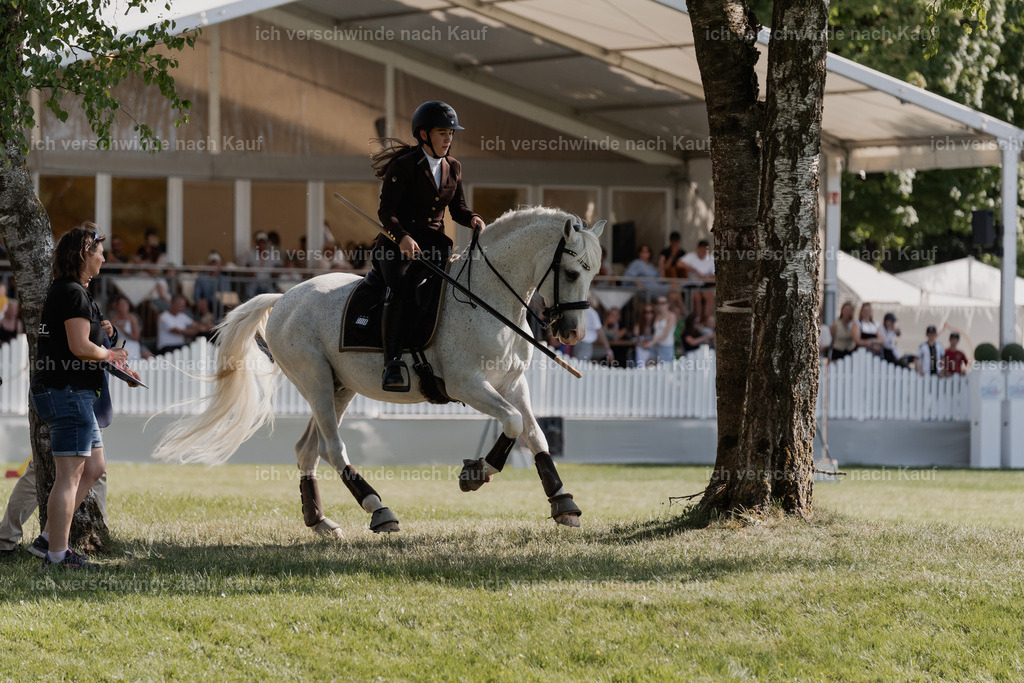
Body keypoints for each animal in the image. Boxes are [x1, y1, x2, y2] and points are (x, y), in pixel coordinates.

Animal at [151, 207, 606, 535]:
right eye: (571, 272)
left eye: (593, 273)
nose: (573, 332)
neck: (486, 298)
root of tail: (283, 298)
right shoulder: (468, 384)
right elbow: (512, 423)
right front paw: (475, 473)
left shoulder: (512, 383)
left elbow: (533, 432)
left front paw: (562, 502)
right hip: (315, 380)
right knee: (334, 449)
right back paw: (378, 509)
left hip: (339, 388)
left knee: (308, 450)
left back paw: (319, 521)